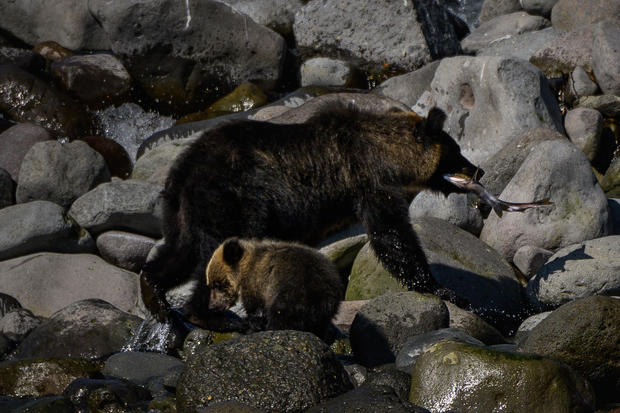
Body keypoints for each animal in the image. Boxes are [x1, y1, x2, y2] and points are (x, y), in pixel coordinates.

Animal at [140, 101, 480, 324]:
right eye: (456, 151)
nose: (479, 169)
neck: (387, 155)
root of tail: (184, 169)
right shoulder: (368, 181)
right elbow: (393, 236)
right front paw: (443, 288)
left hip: (182, 210)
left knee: (179, 252)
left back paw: (155, 294)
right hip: (229, 198)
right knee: (213, 252)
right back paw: (204, 312)